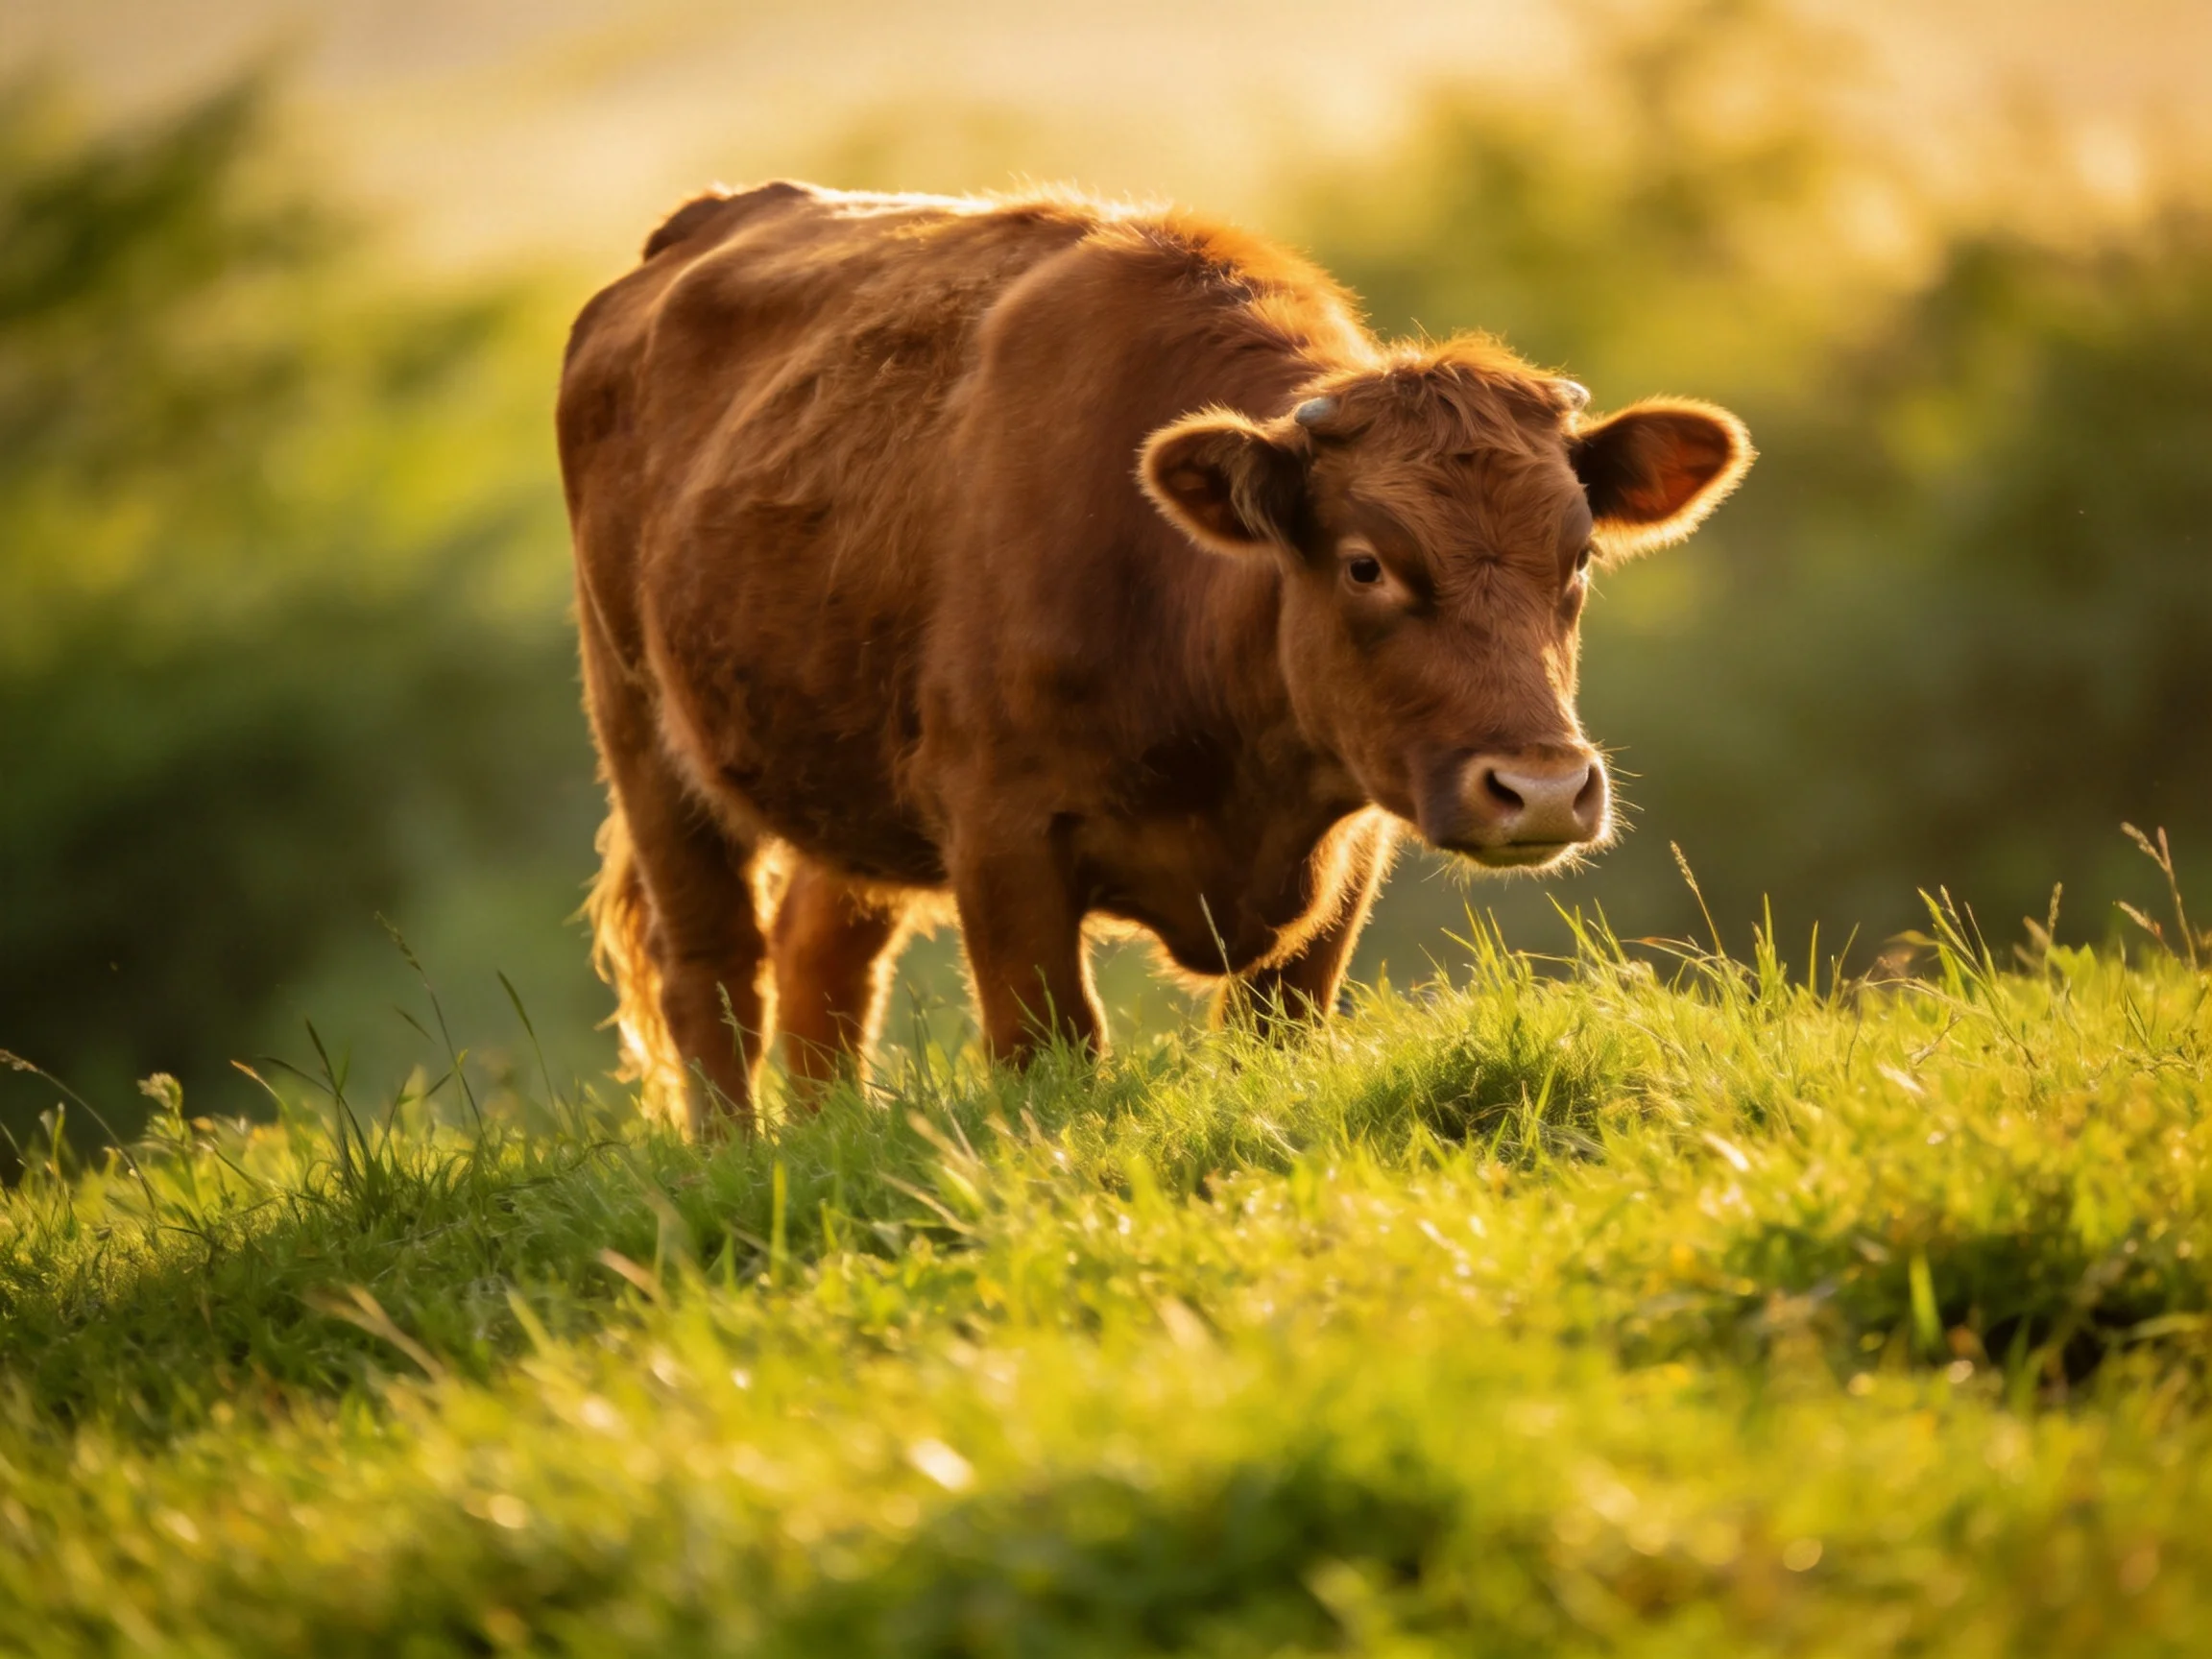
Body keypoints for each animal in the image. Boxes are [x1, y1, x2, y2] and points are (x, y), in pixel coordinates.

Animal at [557, 181, 1751, 1135]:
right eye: (1365, 565)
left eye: (1579, 555)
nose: (1541, 790)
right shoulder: (1003, 835)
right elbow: (1049, 1045)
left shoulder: (1344, 857)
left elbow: (1278, 1033)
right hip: (644, 733)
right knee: (714, 975)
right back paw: (733, 1155)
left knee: (820, 955)